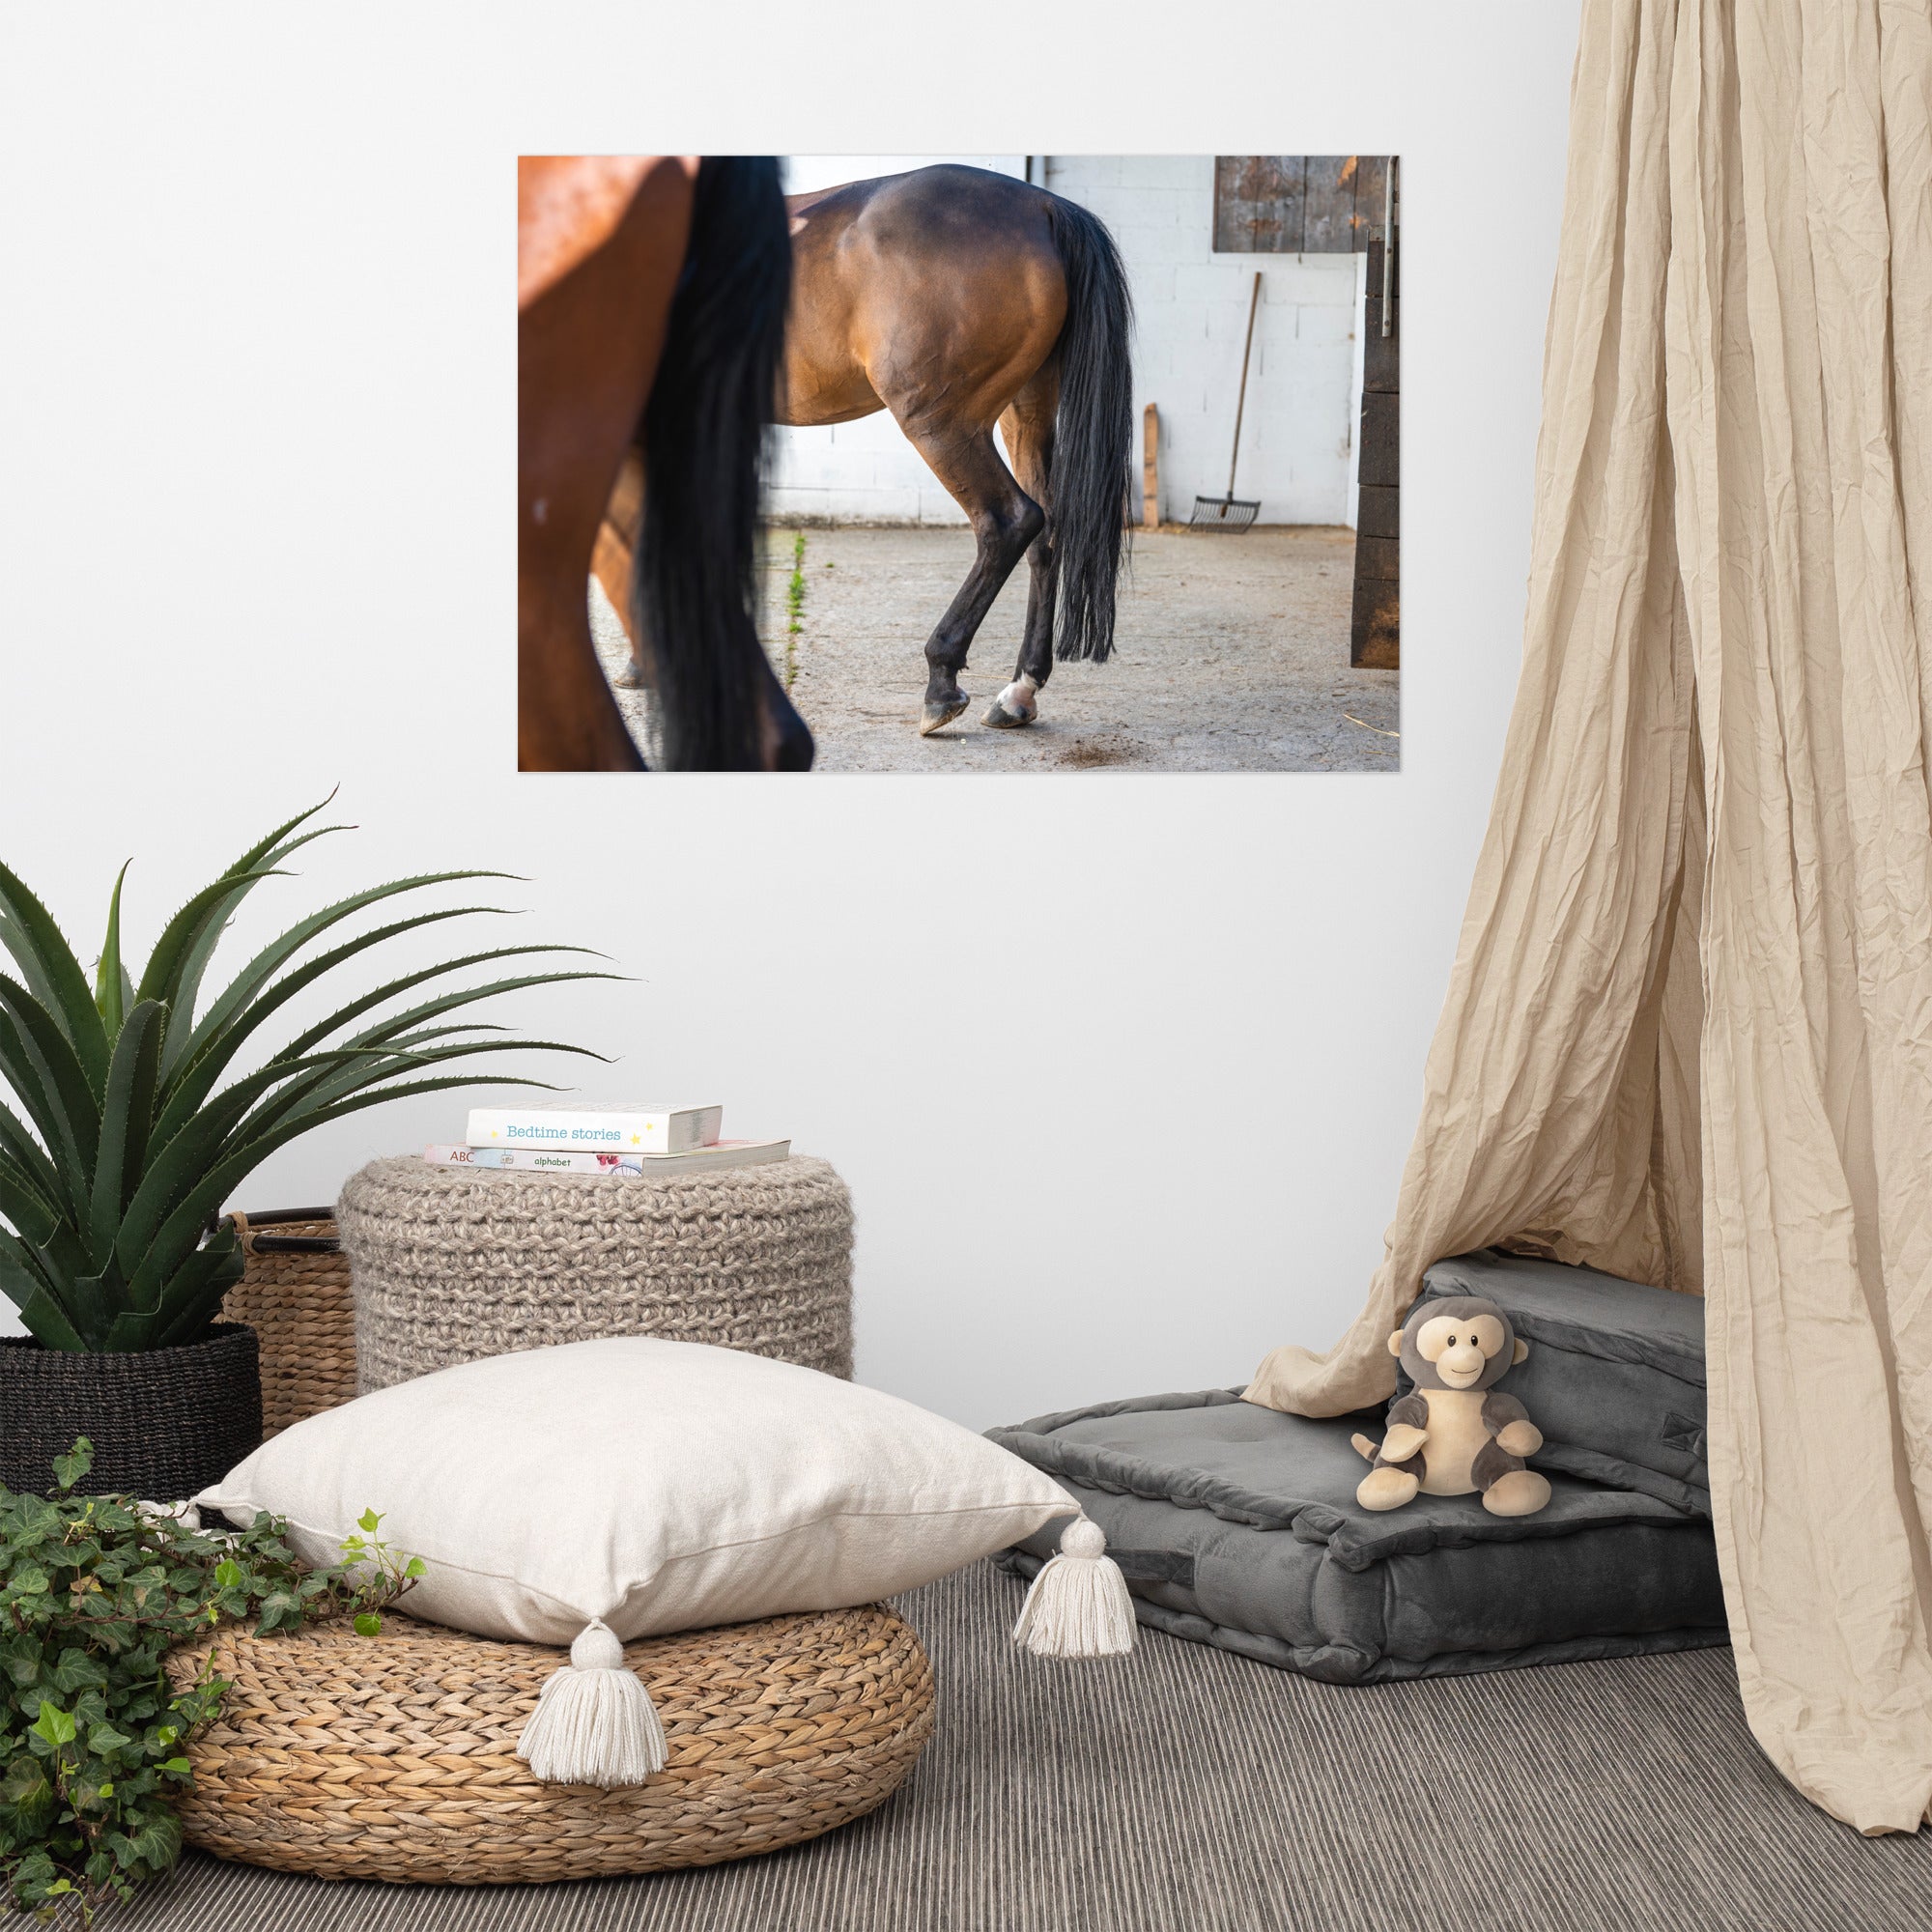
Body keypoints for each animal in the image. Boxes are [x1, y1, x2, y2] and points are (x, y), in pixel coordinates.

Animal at [599, 166, 1128, 734]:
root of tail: (1042, 207)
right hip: (1025, 413)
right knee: (1046, 534)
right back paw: (1018, 693)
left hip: (941, 423)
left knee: (1008, 522)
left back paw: (941, 680)